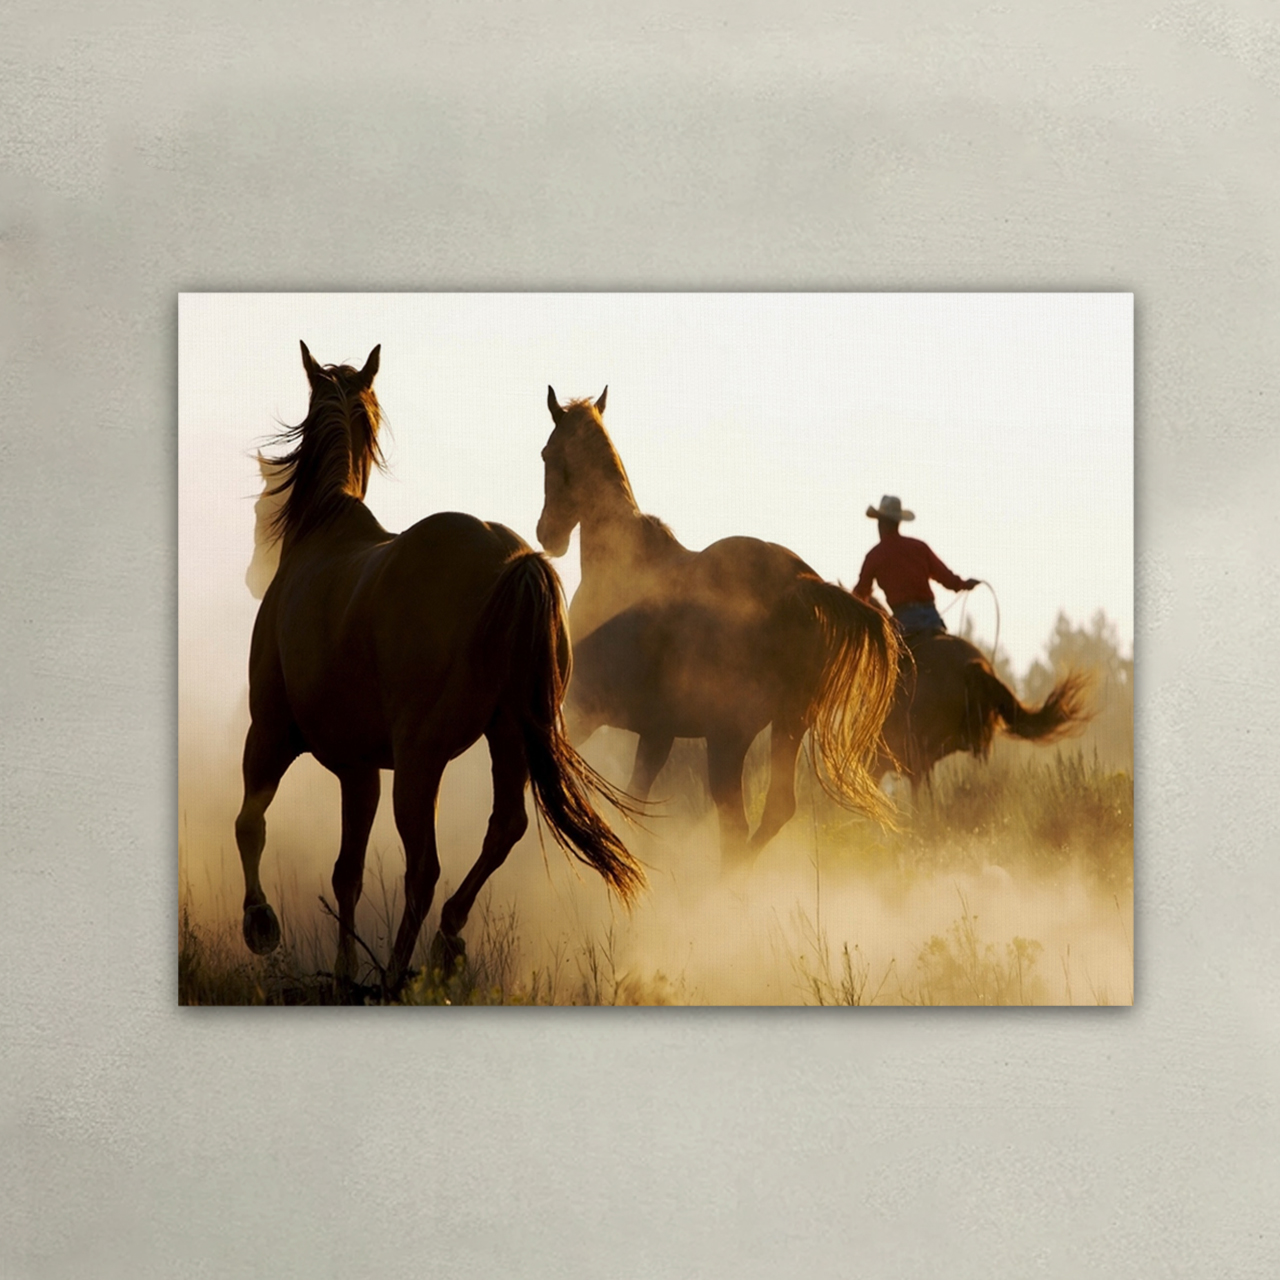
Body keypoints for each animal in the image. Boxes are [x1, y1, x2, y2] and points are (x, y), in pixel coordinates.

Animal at [235, 344, 644, 995]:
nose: (253, 574)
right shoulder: (359, 769)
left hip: (420, 761)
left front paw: (261, 923)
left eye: (261, 506)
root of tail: (514, 562)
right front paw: (344, 973)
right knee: (502, 830)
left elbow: (250, 824)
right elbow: (346, 872)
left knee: (423, 868)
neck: (322, 533)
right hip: (506, 739)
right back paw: (446, 940)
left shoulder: (271, 733)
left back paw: (398, 973)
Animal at [535, 387, 902, 870]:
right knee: (773, 812)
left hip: (729, 738)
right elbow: (635, 799)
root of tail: (800, 585)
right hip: (785, 725)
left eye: (546, 453)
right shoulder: (657, 732)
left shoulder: (583, 710)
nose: (548, 535)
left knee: (736, 825)